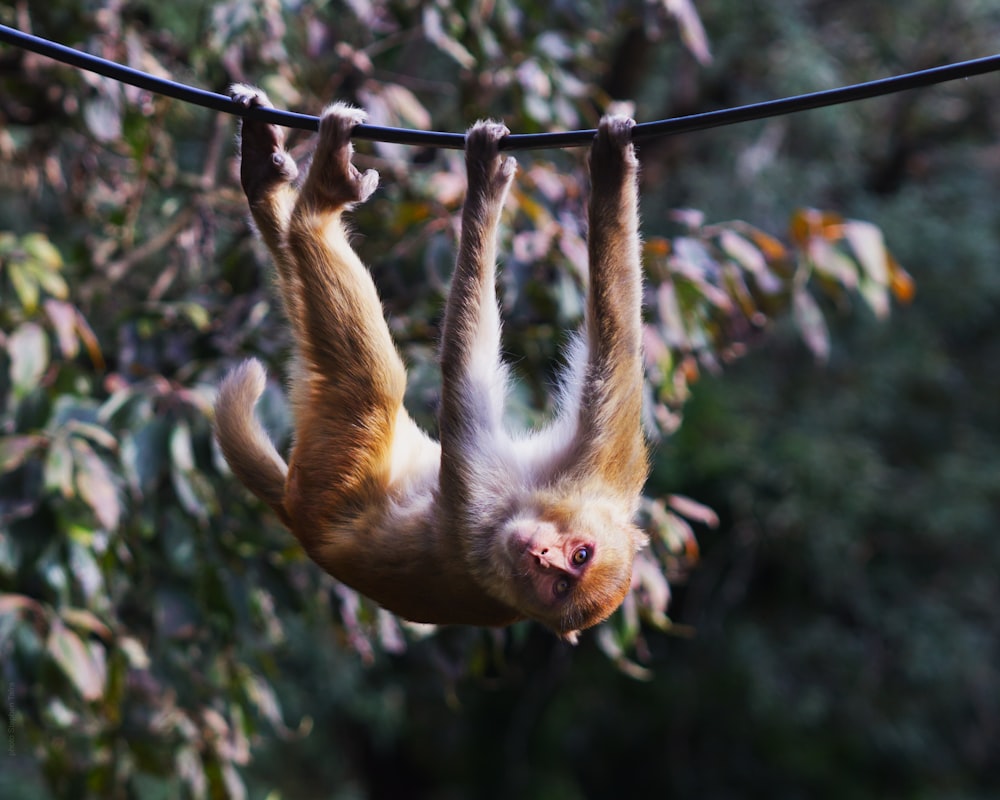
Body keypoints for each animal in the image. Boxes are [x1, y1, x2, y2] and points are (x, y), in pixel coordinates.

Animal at [213, 84, 648, 640]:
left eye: (562, 582)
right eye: (579, 555)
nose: (542, 555)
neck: (518, 509)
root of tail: (292, 516)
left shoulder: (479, 522)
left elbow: (464, 379)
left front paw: (484, 182)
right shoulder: (601, 472)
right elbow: (615, 352)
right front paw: (613, 168)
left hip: (324, 474)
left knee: (371, 381)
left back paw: (319, 203)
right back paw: (266, 179)